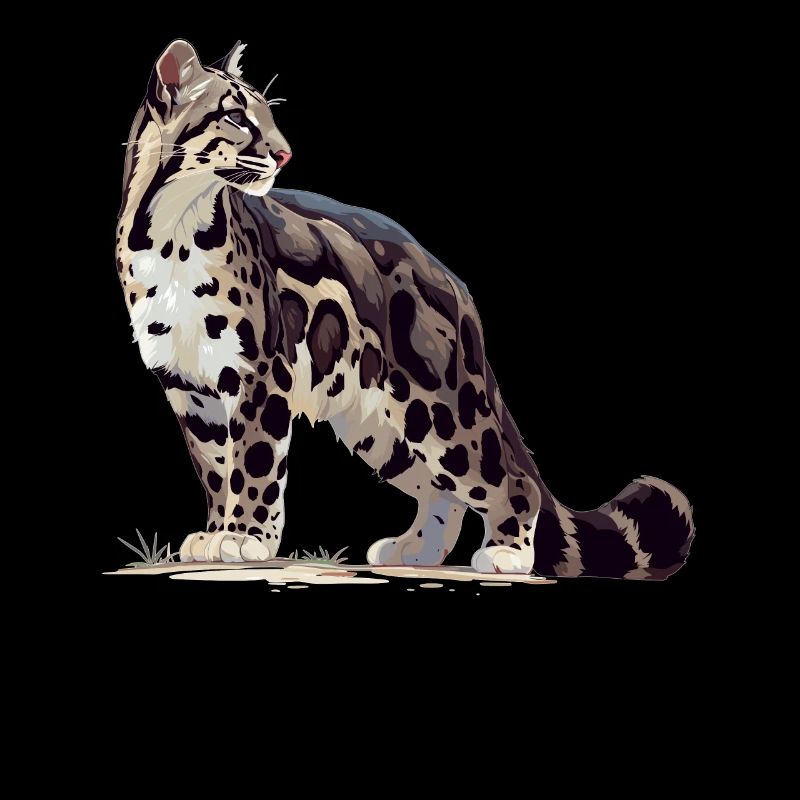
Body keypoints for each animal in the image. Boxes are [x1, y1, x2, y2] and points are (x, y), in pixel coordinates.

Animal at [116, 39, 695, 579]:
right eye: (236, 116)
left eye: (270, 115)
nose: (284, 154)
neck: (172, 235)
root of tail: (451, 279)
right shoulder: (188, 386)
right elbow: (216, 469)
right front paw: (216, 533)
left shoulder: (260, 373)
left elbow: (253, 462)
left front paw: (244, 539)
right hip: (382, 423)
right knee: (442, 491)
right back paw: (416, 550)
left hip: (440, 407)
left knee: (509, 478)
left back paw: (506, 554)